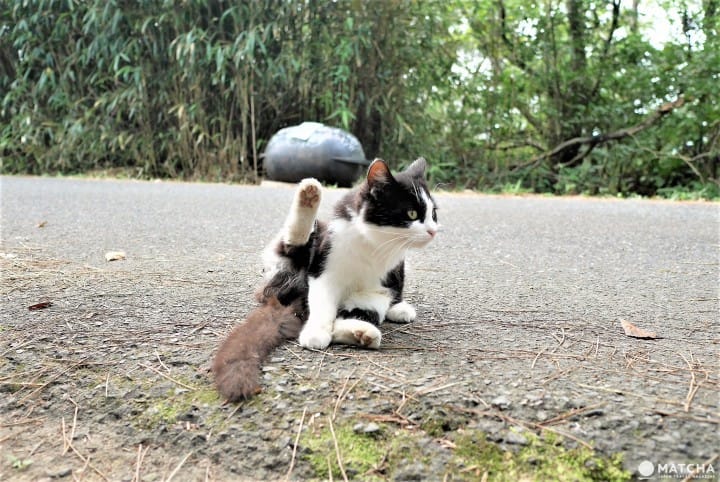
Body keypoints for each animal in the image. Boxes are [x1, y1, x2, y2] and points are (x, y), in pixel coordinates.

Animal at [212, 158, 438, 400]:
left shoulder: (379, 285)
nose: (434, 230)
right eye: (412, 214)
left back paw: (379, 322)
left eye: (434, 214)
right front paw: (317, 332)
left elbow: (365, 310)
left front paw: (353, 329)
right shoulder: (324, 266)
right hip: (295, 258)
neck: (373, 245)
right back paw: (309, 195)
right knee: (294, 245)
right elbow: (322, 304)